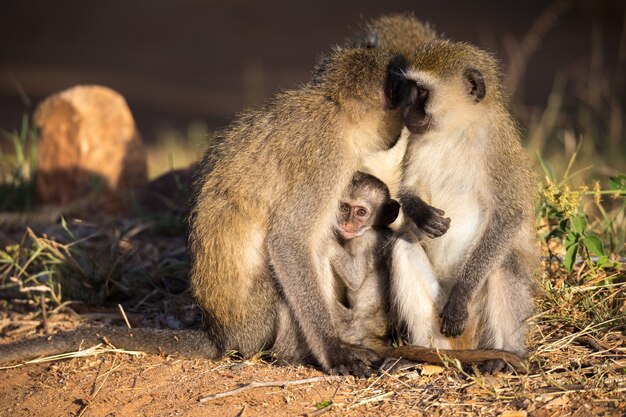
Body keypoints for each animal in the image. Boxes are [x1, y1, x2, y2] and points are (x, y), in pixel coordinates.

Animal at [330, 171, 398, 350]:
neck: (372, 228)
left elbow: (355, 278)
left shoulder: (363, 241)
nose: (347, 224)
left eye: (361, 212)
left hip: (352, 328)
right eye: (344, 208)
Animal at [392, 39, 532, 370]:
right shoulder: (415, 141)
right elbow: (408, 190)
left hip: (477, 320)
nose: (406, 111)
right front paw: (421, 213)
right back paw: (427, 353)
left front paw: (460, 297)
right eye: (410, 89)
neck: (455, 130)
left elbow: (508, 216)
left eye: (422, 92)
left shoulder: (496, 148)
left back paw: (503, 355)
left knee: (503, 261)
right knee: (403, 245)